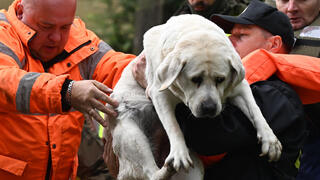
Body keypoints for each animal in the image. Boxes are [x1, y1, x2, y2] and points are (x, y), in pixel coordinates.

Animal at [104, 14, 282, 180]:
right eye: (195, 79)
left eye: (220, 79)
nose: (209, 108)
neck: (196, 32)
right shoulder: (159, 94)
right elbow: (173, 126)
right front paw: (179, 153)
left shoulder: (240, 87)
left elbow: (256, 110)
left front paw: (270, 139)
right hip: (130, 135)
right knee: (151, 173)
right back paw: (166, 169)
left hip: (195, 169)